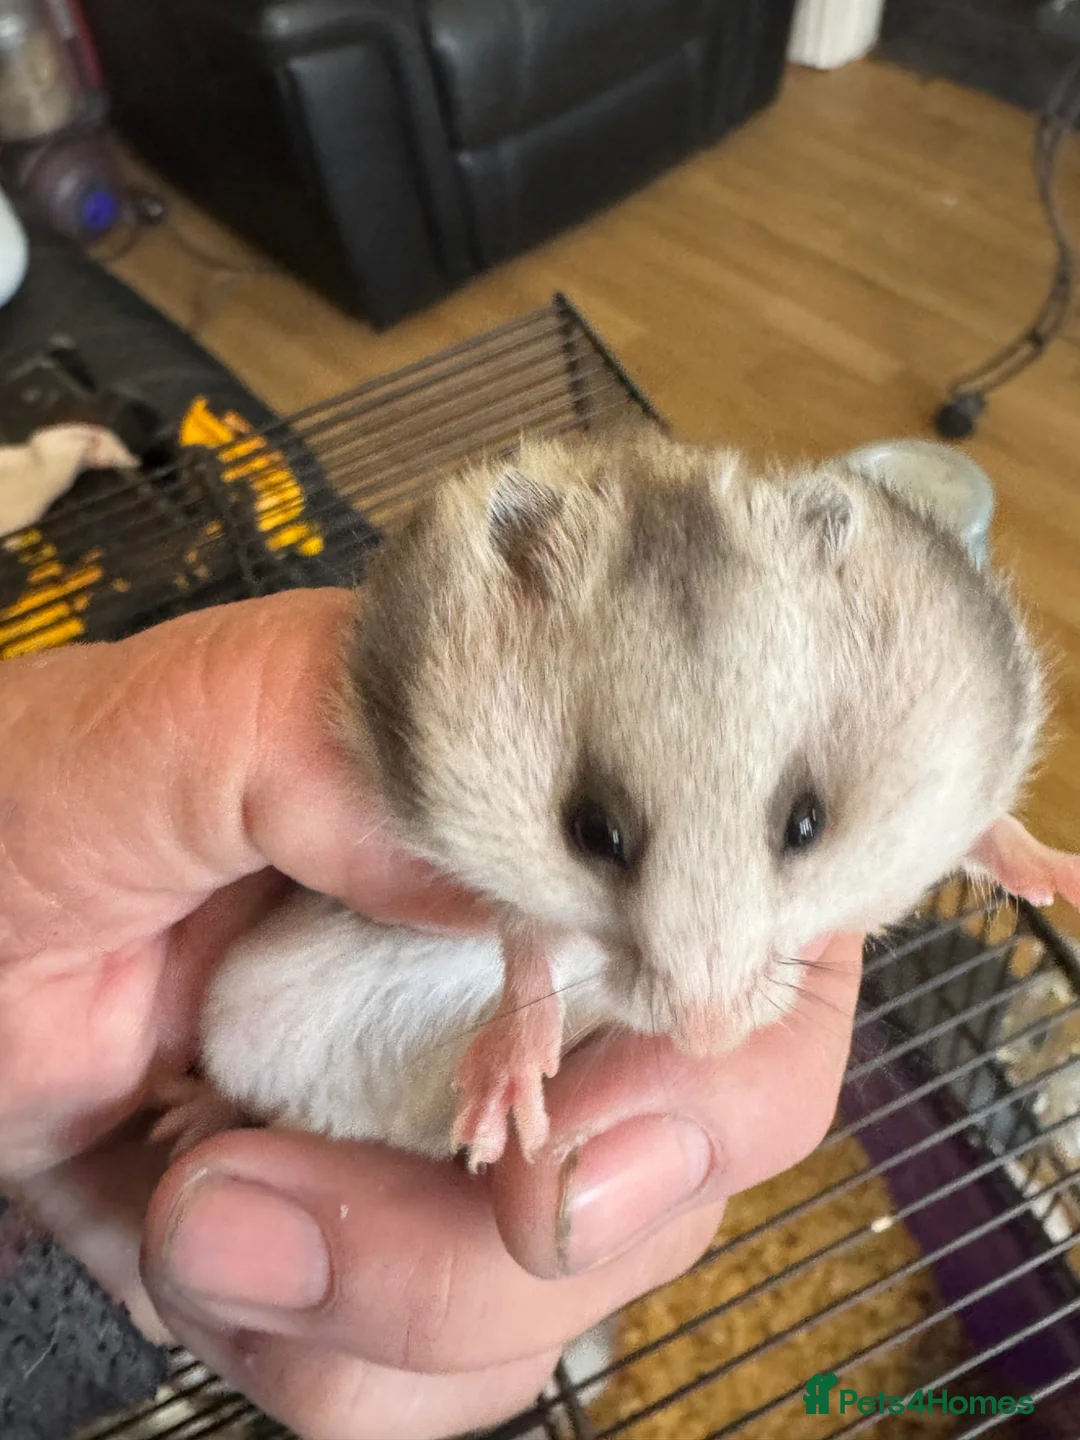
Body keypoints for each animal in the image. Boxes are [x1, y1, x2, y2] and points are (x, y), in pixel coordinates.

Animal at [158, 428, 1080, 1171]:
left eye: (807, 822)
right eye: (592, 832)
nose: (709, 1041)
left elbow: (990, 832)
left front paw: (1060, 882)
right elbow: (524, 938)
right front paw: (496, 1118)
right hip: (238, 1008)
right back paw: (179, 1125)